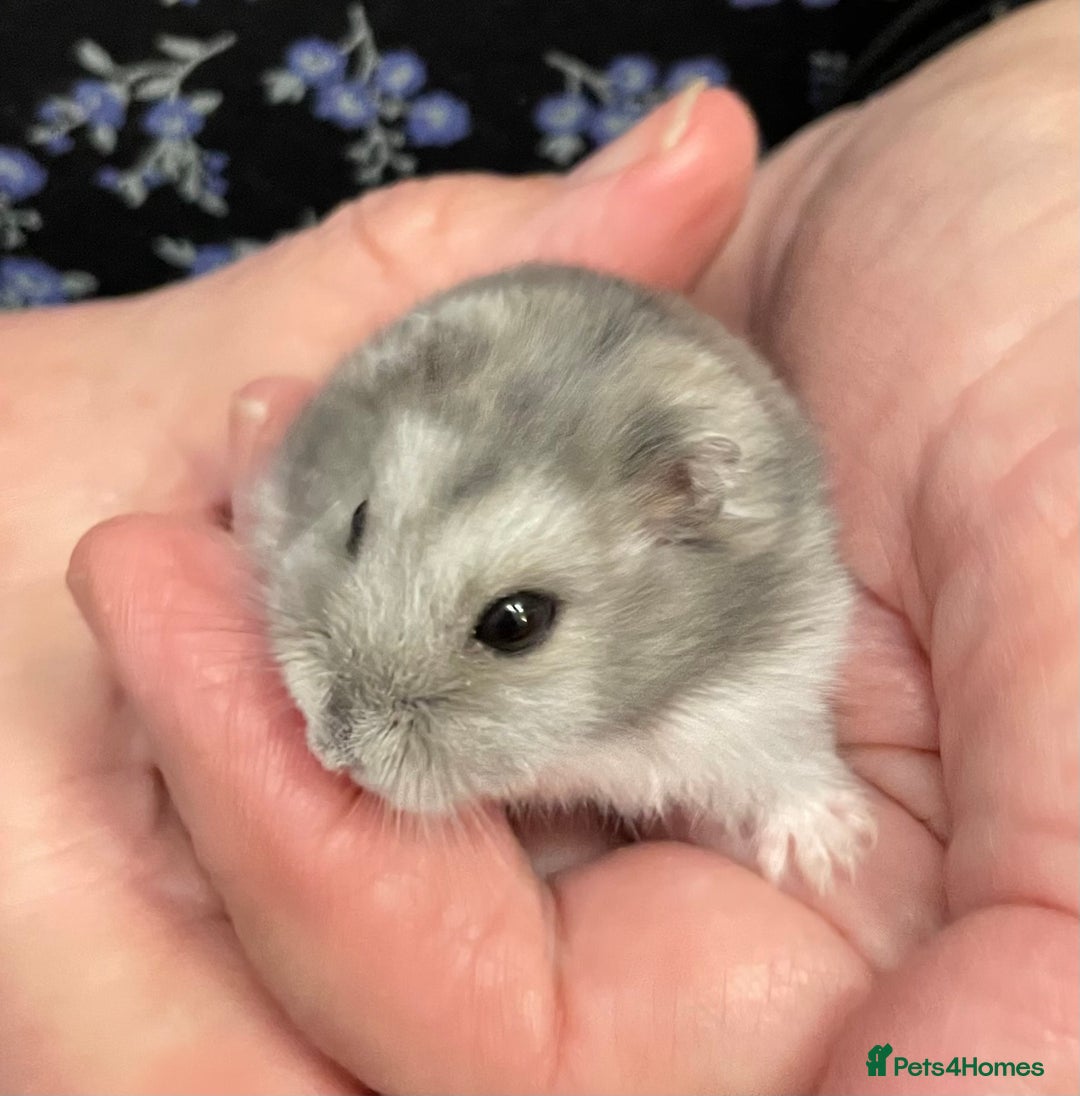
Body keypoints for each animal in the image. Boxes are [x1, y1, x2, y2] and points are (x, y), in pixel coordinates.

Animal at [240, 263, 875, 892]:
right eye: (357, 520)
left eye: (515, 623)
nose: (331, 751)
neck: (593, 740)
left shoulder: (768, 692)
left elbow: (787, 764)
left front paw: (829, 858)